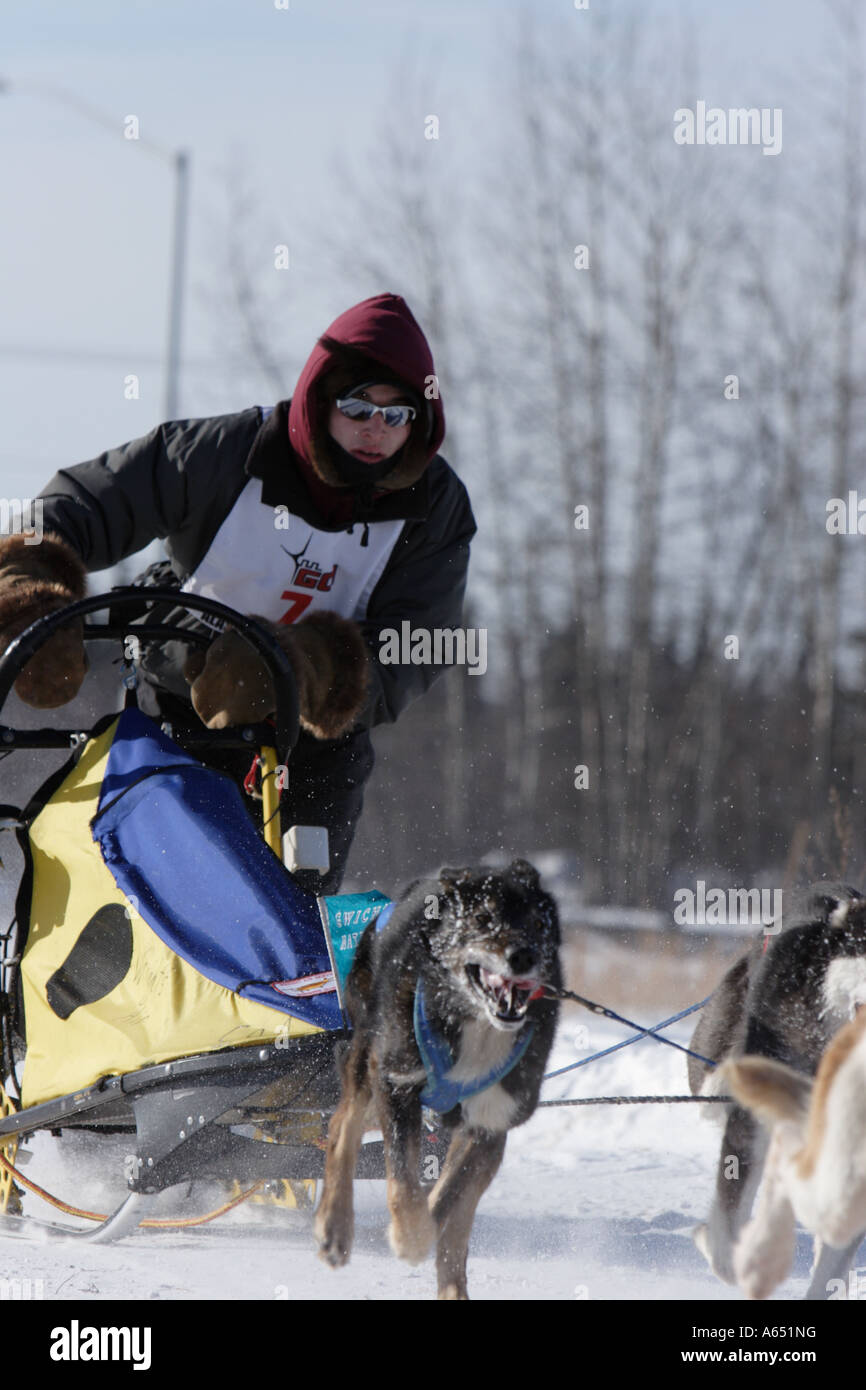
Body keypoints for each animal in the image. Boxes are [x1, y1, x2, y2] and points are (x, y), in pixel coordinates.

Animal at [311, 856, 561, 1301]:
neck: (477, 1023)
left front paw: (425, 1229)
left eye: (537, 921)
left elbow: (448, 1200)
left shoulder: (489, 1125)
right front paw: (409, 1237)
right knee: (342, 1124)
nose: (523, 955)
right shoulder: (397, 1083)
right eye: (482, 917)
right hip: (370, 1056)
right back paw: (335, 1227)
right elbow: (404, 1183)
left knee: (458, 1227)